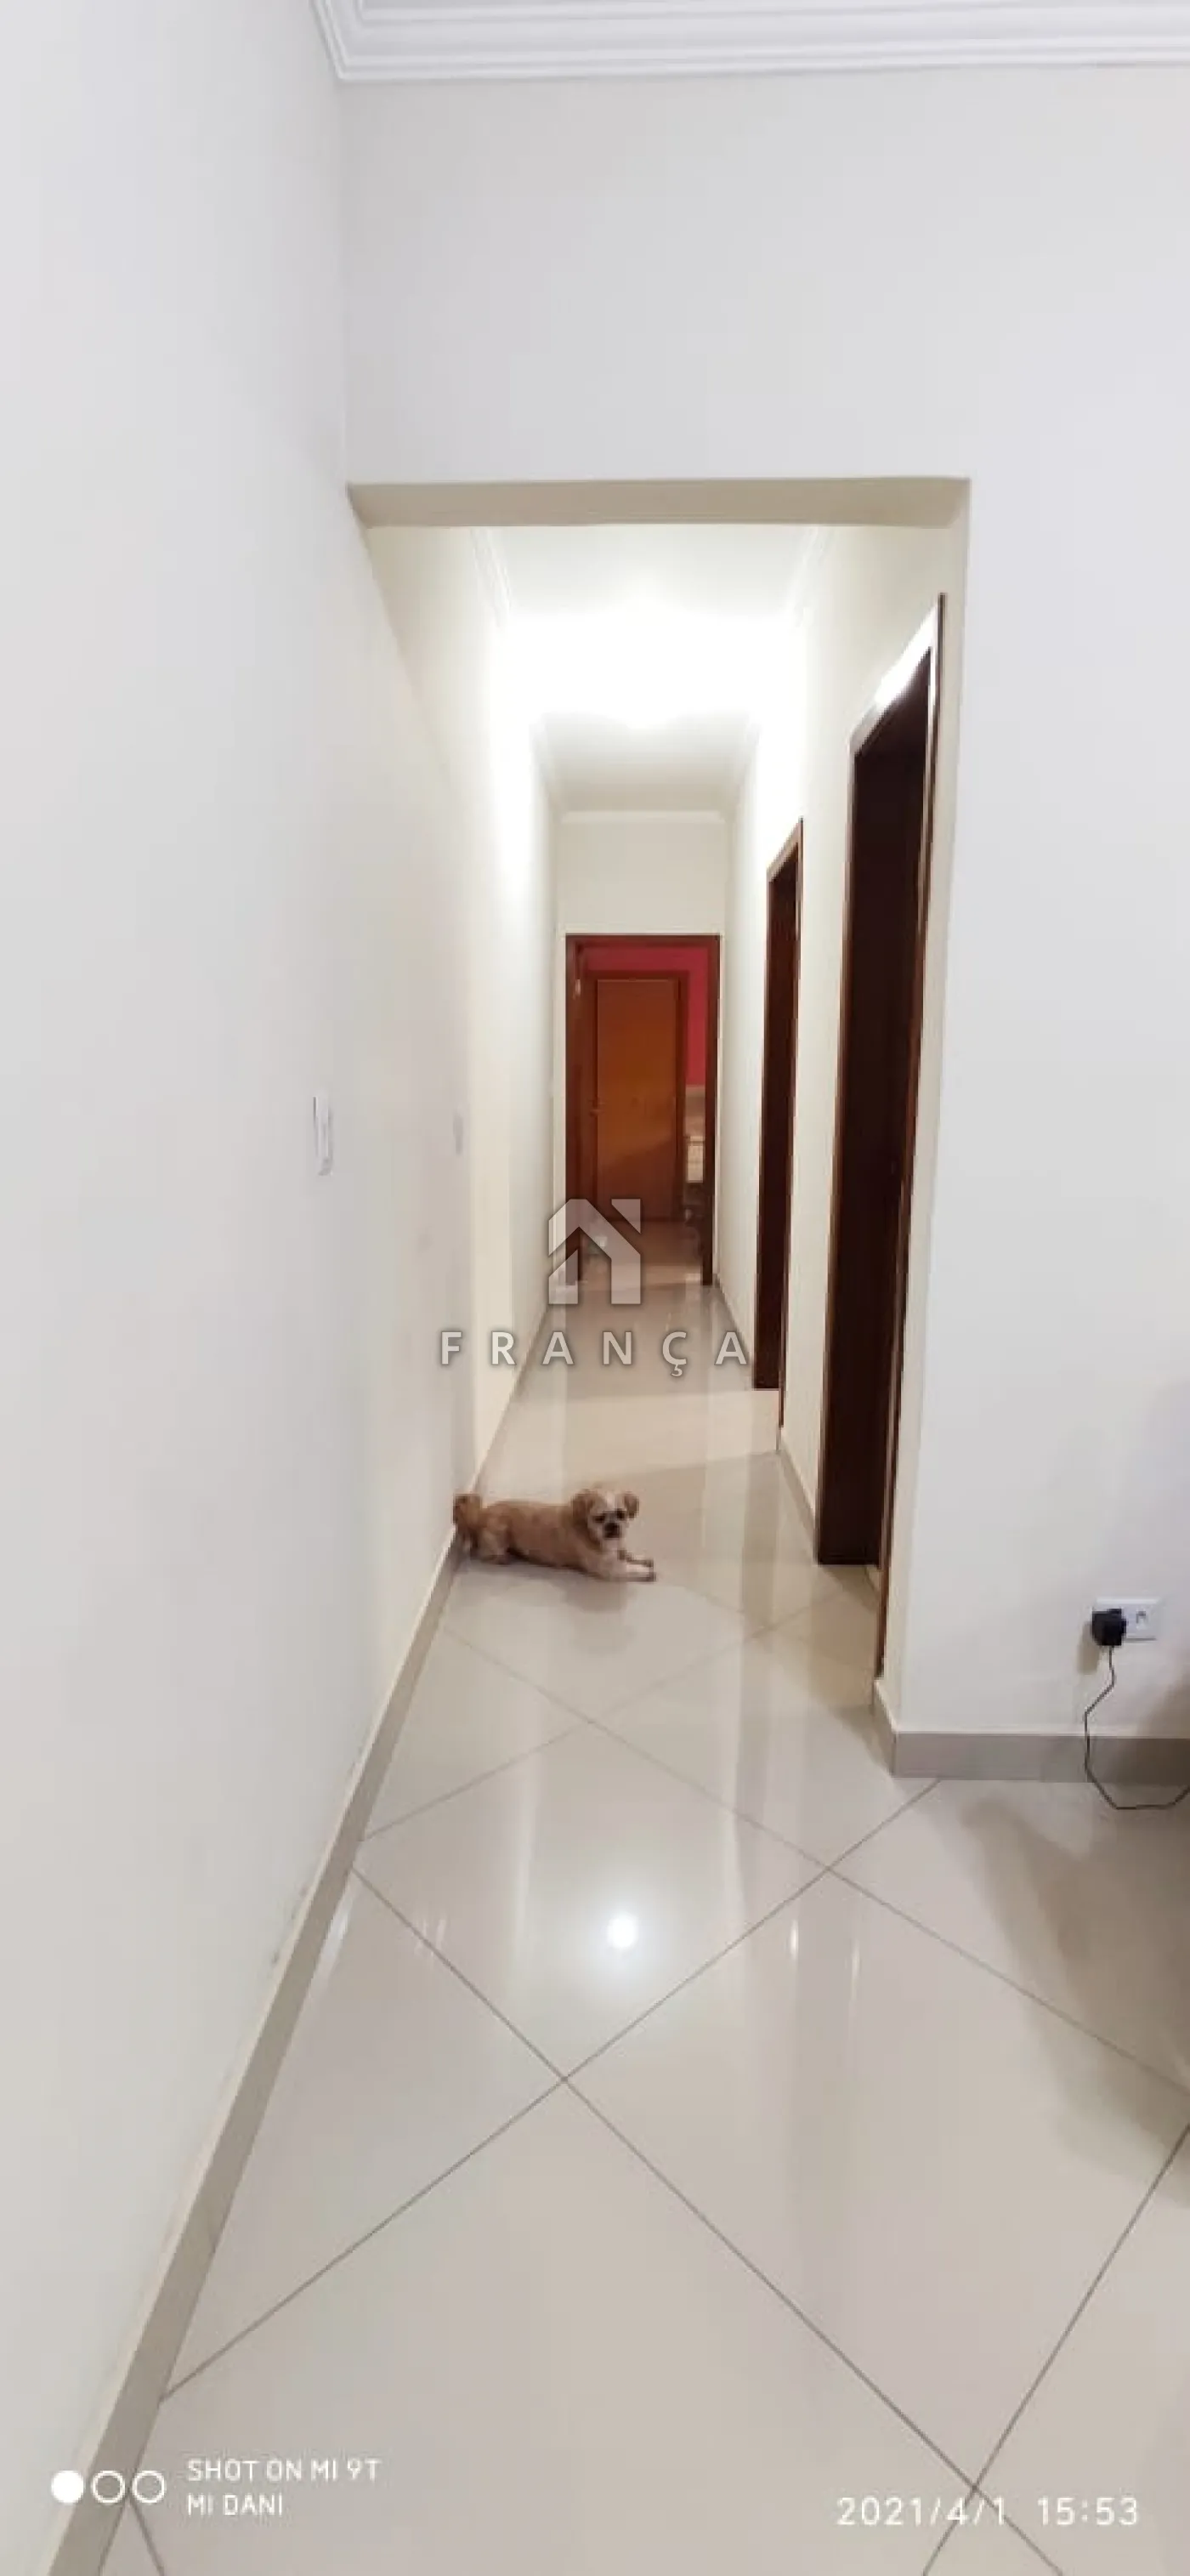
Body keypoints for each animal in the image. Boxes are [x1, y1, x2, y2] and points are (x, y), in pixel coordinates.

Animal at [453, 1486, 656, 1582]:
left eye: (621, 1514)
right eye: (599, 1518)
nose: (612, 1526)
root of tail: (480, 1516)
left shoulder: (617, 1547)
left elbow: (627, 1553)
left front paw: (640, 1558)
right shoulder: (607, 1569)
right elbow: (628, 1568)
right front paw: (646, 1572)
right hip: (499, 1535)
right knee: (482, 1554)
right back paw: (503, 1558)